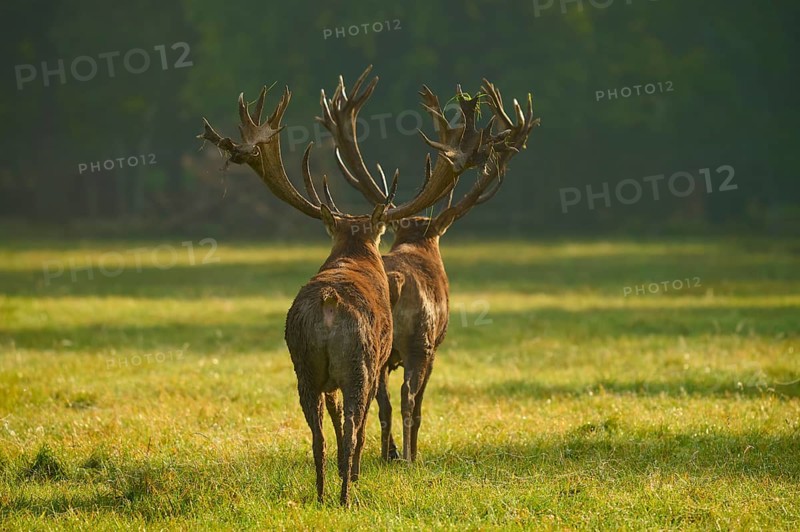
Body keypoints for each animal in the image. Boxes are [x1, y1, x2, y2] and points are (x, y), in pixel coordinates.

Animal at [197, 67, 498, 505]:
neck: (354, 254)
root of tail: (327, 303)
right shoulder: (386, 359)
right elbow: (373, 415)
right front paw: (362, 469)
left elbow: (335, 422)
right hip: (364, 362)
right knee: (368, 415)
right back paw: (348, 490)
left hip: (304, 366)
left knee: (318, 432)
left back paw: (324, 492)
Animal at [318, 71, 540, 462]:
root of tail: (395, 281)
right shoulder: (436, 345)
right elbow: (418, 401)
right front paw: (413, 450)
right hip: (419, 341)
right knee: (408, 397)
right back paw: (409, 455)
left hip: (382, 346)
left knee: (382, 399)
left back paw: (389, 453)